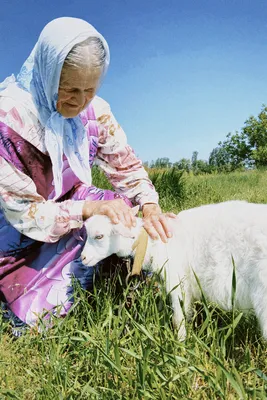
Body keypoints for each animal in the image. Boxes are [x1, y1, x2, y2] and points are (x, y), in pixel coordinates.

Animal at [81, 202, 267, 340]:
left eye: (99, 236)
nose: (83, 258)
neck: (152, 243)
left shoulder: (177, 279)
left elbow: (178, 318)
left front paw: (180, 344)